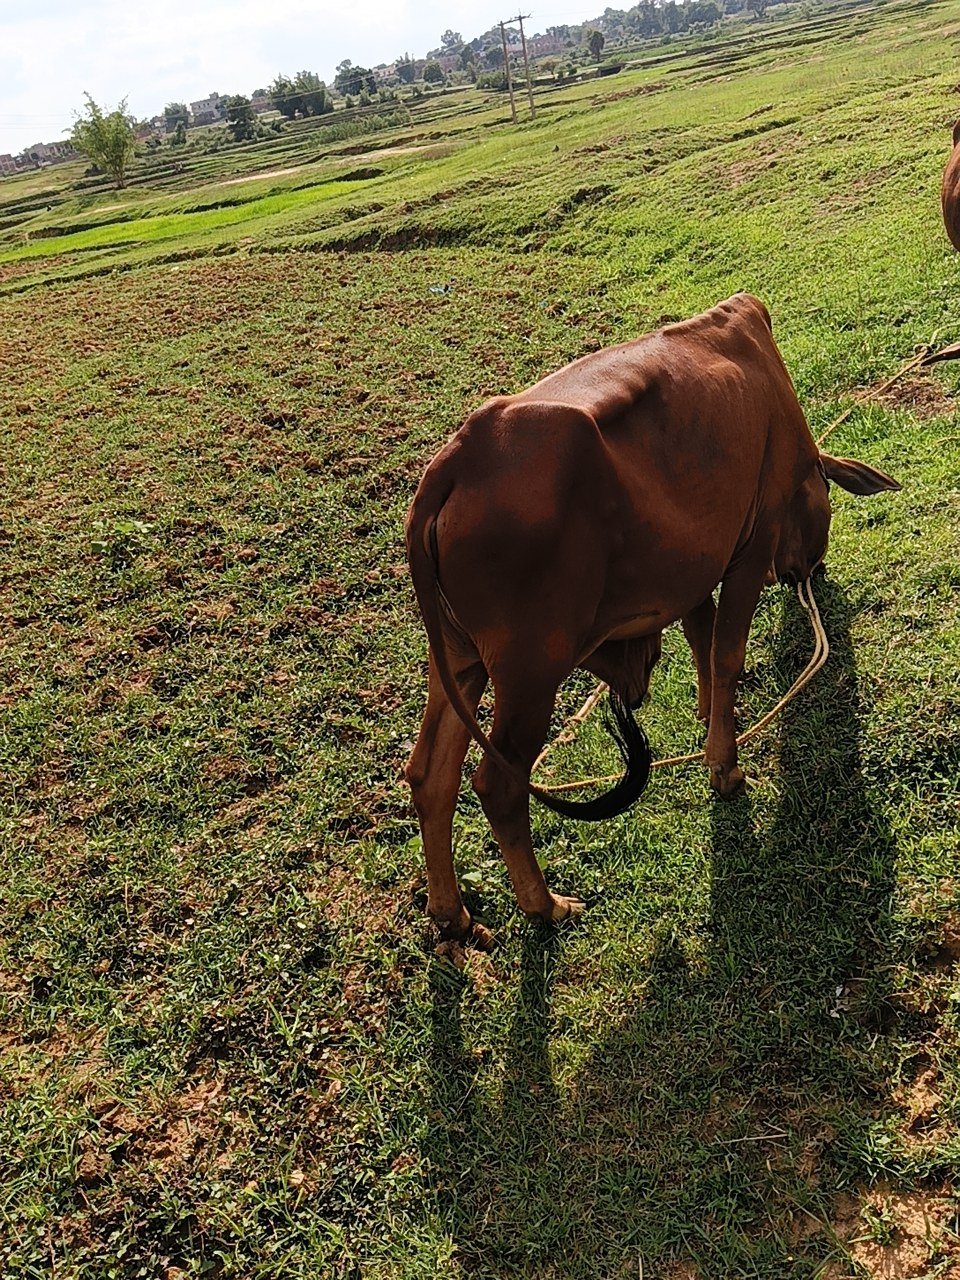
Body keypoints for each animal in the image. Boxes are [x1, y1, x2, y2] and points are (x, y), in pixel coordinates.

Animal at [404, 294, 899, 946]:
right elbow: (726, 653)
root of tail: (452, 465)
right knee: (498, 785)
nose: (811, 574)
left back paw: (451, 912)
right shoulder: (751, 545)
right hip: (531, 673)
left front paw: (708, 714)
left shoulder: (694, 569)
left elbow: (701, 639)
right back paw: (544, 905)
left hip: (457, 663)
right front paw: (725, 767)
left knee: (429, 777)